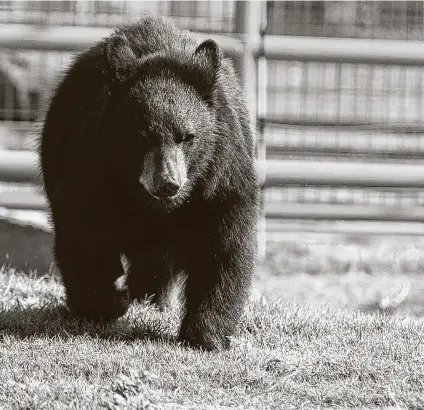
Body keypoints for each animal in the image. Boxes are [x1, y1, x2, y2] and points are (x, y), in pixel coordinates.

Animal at [39, 15, 258, 350]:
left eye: (188, 137)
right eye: (140, 137)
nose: (168, 183)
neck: (156, 206)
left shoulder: (221, 181)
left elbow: (223, 248)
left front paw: (206, 335)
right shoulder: (94, 168)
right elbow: (83, 229)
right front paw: (107, 302)